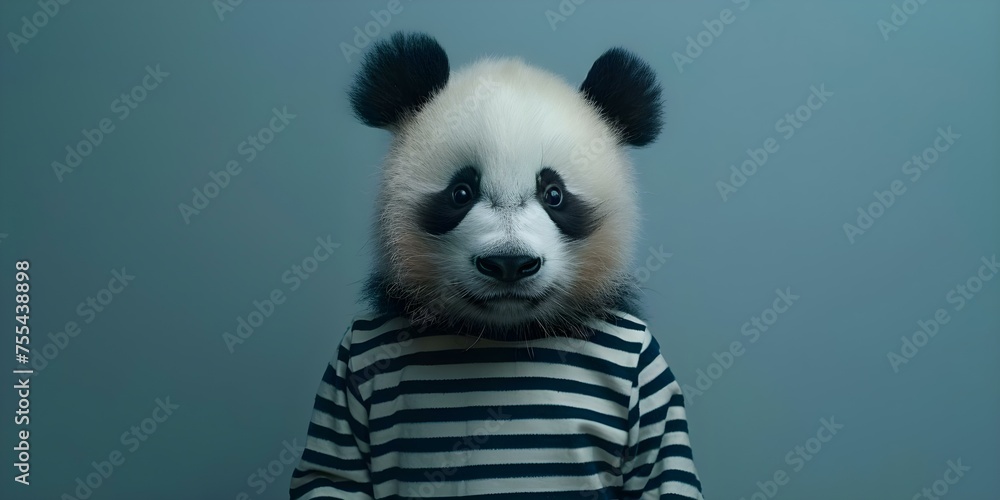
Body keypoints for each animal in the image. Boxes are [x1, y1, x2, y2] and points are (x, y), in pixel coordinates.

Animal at [291, 32, 703, 499]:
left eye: (554, 194)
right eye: (461, 192)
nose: (509, 263)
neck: (502, 335)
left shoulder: (645, 366)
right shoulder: (355, 358)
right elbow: (331, 476)